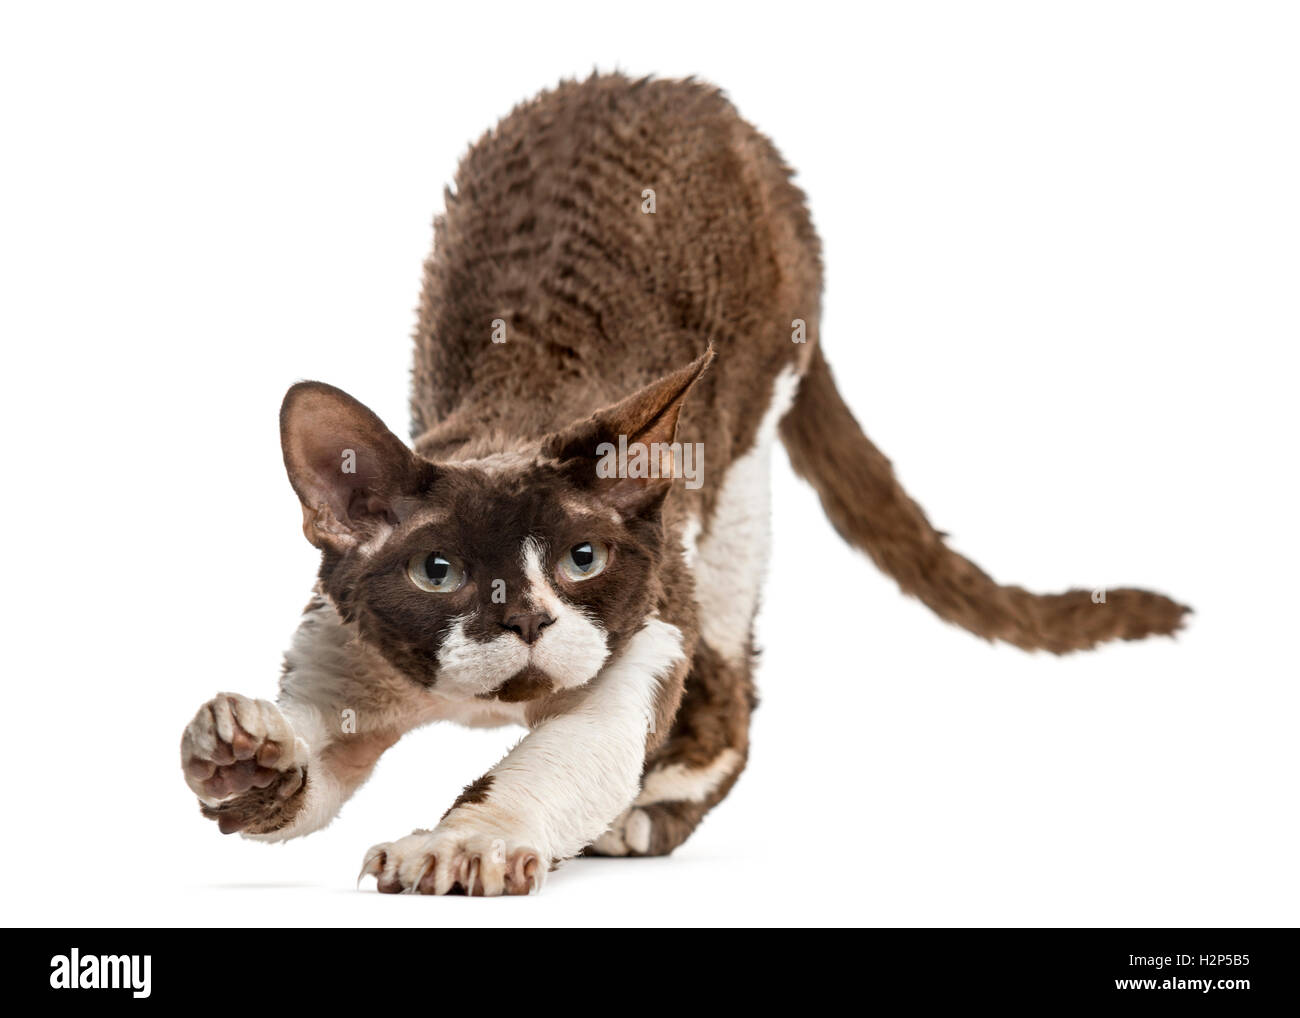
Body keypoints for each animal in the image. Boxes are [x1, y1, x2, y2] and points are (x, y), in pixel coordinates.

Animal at [180, 73, 1190, 899]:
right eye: (439, 573)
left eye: (583, 559)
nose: (528, 619)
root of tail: (689, 92)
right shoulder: (339, 651)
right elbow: (313, 762)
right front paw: (247, 757)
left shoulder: (648, 636)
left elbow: (552, 756)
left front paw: (461, 844)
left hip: (738, 478)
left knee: (734, 686)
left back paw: (644, 812)